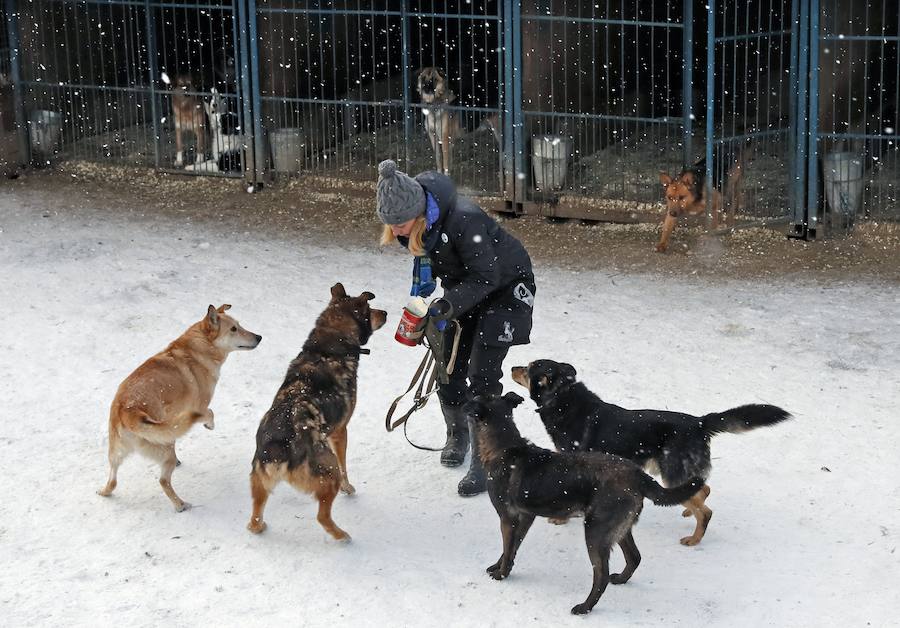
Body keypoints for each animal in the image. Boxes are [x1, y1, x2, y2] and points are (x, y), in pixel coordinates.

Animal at [100, 304, 266, 510]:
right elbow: (210, 413)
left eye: (239, 325)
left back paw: (104, 492)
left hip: (116, 454)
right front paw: (209, 425)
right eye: (234, 329)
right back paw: (180, 505)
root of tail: (128, 411)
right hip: (165, 448)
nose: (259, 337)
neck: (199, 347)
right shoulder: (201, 406)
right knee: (163, 480)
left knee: (113, 480)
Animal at [248, 284, 384, 540]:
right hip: (329, 473)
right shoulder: (340, 432)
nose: (387, 313)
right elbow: (345, 466)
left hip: (258, 482)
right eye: (370, 309)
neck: (328, 346)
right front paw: (349, 488)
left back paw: (260, 527)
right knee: (322, 516)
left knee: (253, 521)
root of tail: (280, 446)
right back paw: (342, 536)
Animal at [468, 392, 708, 612]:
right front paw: (500, 566)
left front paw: (501, 574)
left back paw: (585, 606)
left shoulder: (507, 517)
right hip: (619, 528)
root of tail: (637, 475)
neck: (505, 447)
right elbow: (512, 547)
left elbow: (508, 547)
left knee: (601, 576)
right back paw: (621, 579)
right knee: (634, 557)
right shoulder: (526, 516)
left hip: (596, 531)